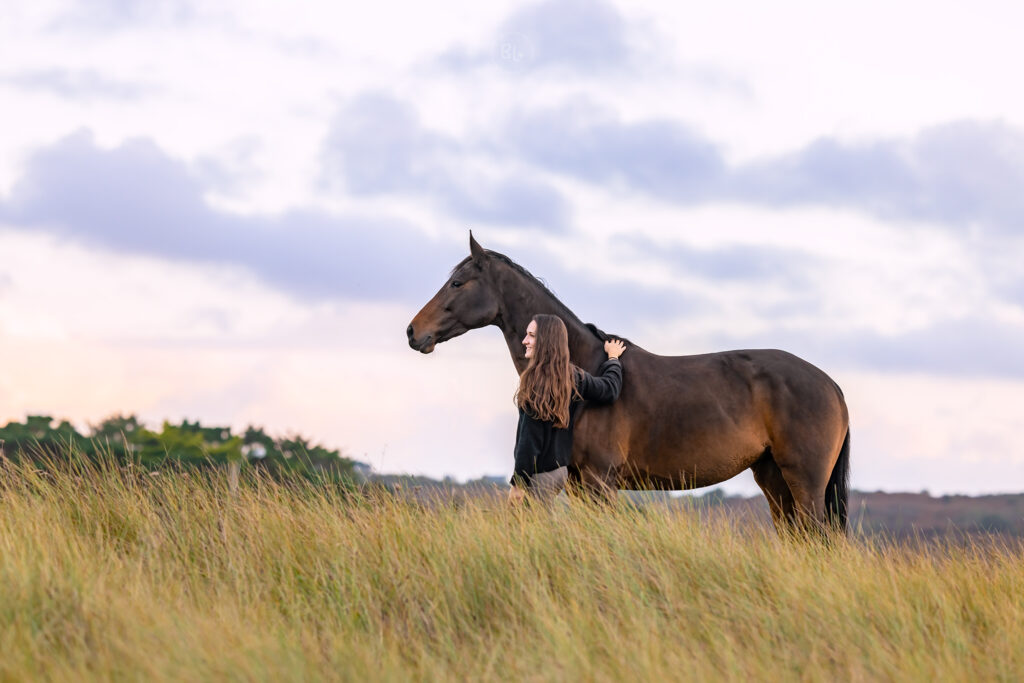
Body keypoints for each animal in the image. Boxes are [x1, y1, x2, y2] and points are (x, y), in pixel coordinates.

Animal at [405, 235, 847, 532]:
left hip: (805, 484)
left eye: (458, 283)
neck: (585, 370)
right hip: (773, 479)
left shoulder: (600, 482)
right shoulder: (580, 484)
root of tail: (831, 385)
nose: (413, 331)